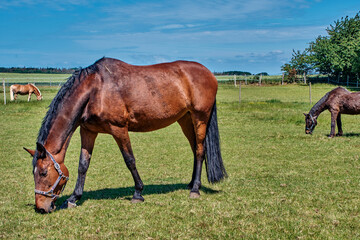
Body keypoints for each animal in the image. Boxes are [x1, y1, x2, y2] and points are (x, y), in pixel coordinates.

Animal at [23, 57, 228, 213]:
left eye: (43, 173)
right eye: (34, 173)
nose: (41, 207)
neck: (95, 89)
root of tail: (209, 74)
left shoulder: (119, 129)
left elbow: (129, 160)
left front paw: (138, 193)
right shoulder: (88, 131)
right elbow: (83, 165)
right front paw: (74, 198)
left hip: (200, 117)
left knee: (200, 151)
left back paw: (195, 189)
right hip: (185, 119)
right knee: (195, 149)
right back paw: (191, 183)